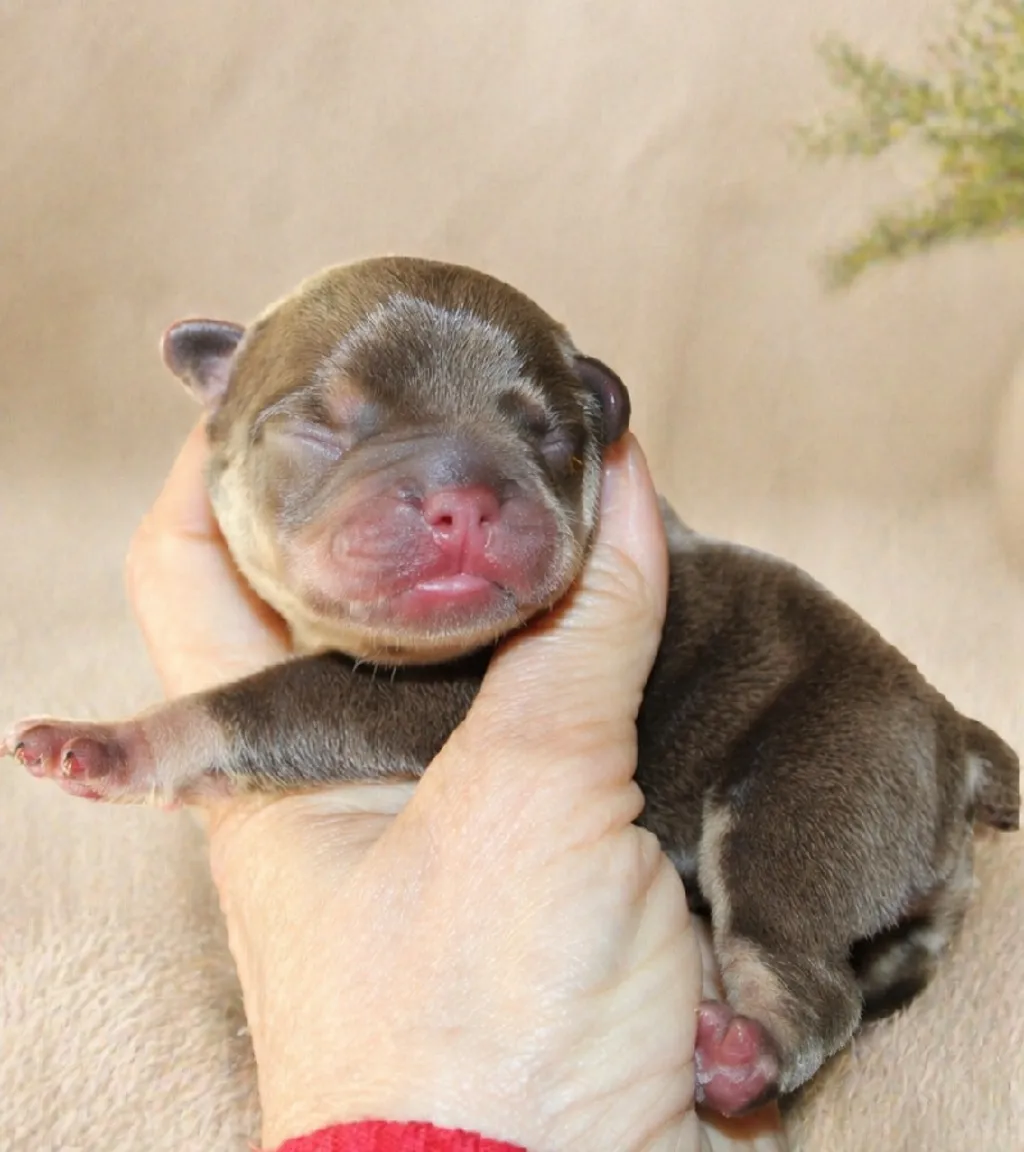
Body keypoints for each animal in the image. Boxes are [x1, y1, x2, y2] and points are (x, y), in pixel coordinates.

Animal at [3, 256, 1019, 1118]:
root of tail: (956, 736)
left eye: (555, 437)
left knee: (804, 963)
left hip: (810, 789)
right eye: (322, 425)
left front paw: (109, 742)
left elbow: (259, 701)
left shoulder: (416, 700)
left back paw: (747, 1056)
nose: (465, 496)